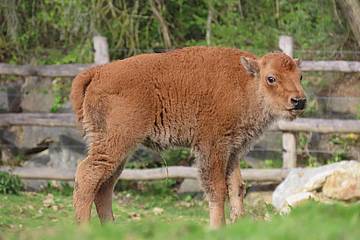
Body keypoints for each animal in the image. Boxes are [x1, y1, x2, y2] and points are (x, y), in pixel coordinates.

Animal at [71, 46, 306, 227]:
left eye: (300, 76)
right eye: (271, 78)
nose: (299, 101)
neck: (245, 82)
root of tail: (98, 72)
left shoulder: (233, 150)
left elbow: (237, 187)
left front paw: (239, 223)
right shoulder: (213, 147)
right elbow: (217, 188)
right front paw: (217, 227)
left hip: (118, 150)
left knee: (105, 186)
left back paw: (110, 228)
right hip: (116, 143)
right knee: (88, 175)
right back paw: (85, 228)